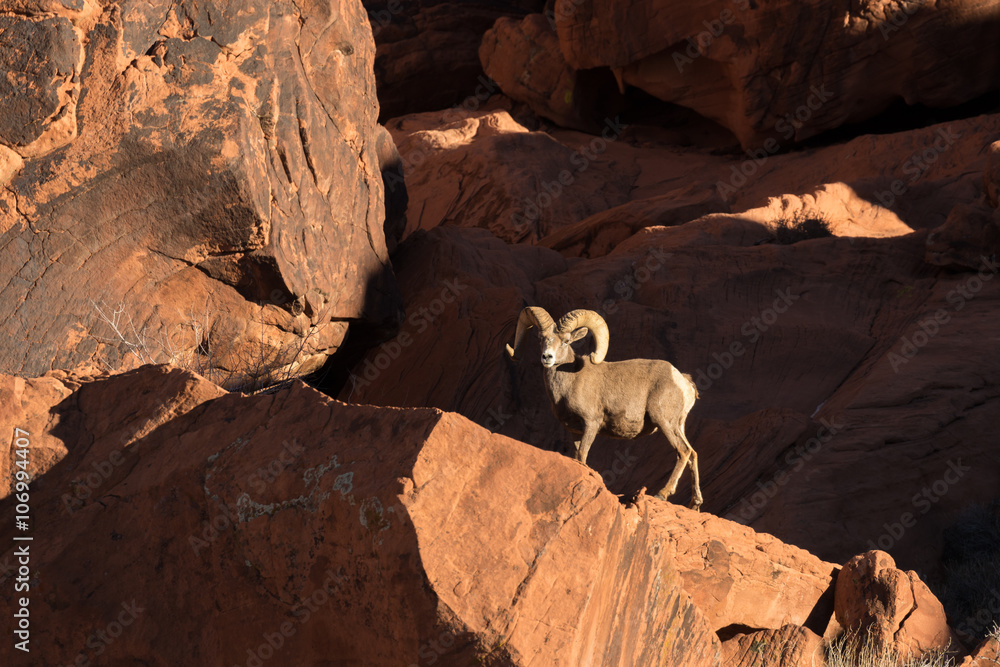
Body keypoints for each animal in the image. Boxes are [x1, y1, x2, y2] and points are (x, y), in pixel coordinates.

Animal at [505, 307, 702, 510]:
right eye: (540, 338)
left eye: (566, 341)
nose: (547, 357)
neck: (571, 380)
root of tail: (683, 381)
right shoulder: (575, 431)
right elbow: (577, 456)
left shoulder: (591, 423)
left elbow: (582, 454)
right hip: (677, 425)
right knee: (693, 454)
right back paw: (695, 504)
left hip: (664, 422)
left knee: (683, 451)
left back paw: (662, 494)